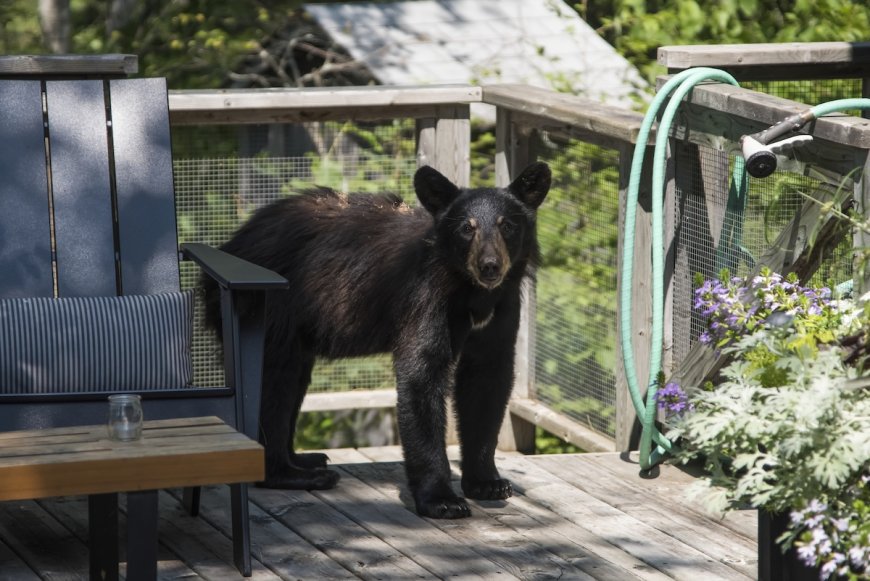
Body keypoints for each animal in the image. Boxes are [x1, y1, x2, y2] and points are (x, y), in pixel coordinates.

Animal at [203, 161, 551, 519]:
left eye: (507, 225)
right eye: (467, 228)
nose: (490, 266)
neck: (472, 292)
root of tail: (232, 243)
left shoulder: (503, 306)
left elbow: (487, 378)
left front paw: (487, 482)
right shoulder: (426, 296)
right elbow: (421, 374)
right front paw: (441, 499)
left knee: (292, 380)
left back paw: (304, 459)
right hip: (270, 309)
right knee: (274, 385)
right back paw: (292, 474)